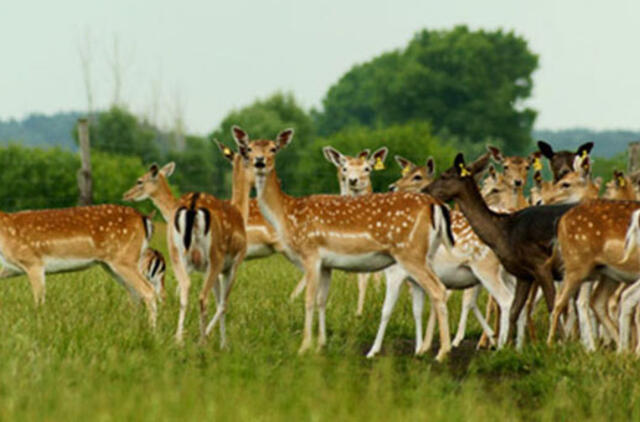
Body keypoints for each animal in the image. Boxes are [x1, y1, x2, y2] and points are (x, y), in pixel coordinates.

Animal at [0, 204, 158, 324]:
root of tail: (143, 218)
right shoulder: (10, 268)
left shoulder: (33, 262)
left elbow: (39, 300)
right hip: (112, 264)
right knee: (134, 293)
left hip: (124, 259)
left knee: (148, 290)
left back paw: (152, 332)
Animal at [240, 128, 456, 360]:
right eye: (249, 149)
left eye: (273, 148)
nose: (259, 161)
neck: (287, 214)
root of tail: (436, 205)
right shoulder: (326, 264)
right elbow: (321, 300)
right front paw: (321, 345)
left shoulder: (310, 253)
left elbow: (309, 300)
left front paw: (304, 347)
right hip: (428, 254)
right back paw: (423, 349)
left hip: (410, 252)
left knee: (438, 289)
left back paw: (442, 352)